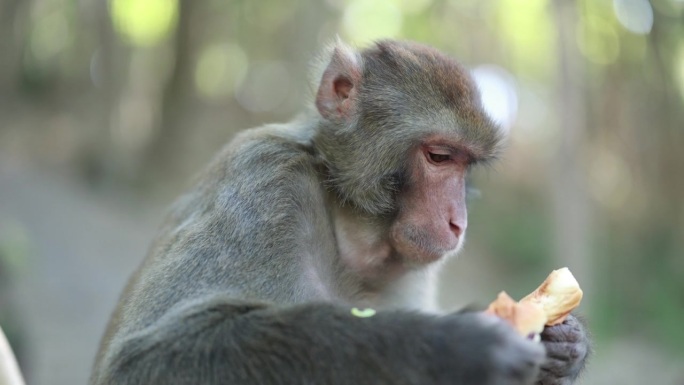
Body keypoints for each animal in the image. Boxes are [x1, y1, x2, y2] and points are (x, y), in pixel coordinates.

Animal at [89, 39, 588, 384]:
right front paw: (453, 346)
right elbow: (140, 359)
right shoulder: (265, 180)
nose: (457, 223)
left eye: (467, 166)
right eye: (440, 157)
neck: (352, 228)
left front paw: (566, 346)